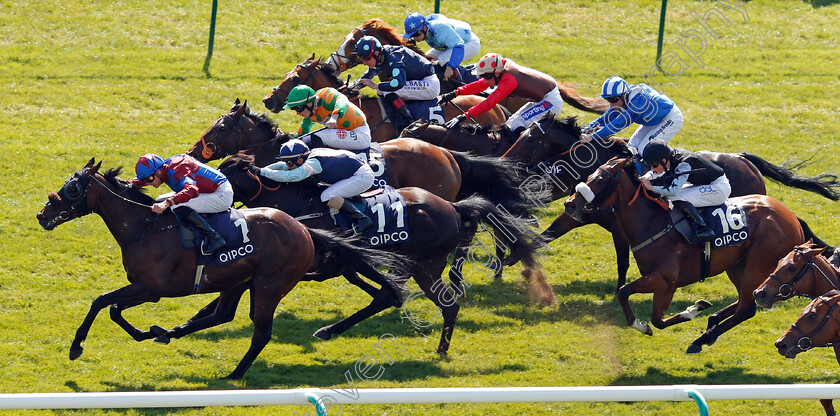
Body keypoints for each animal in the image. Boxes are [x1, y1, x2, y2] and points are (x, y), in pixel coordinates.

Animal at [37, 158, 410, 378]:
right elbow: (112, 308)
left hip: (269, 285)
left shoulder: (151, 288)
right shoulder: (145, 289)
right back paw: (171, 333)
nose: (42, 215)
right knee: (222, 315)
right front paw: (149, 332)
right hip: (236, 279)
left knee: (260, 331)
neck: (145, 227)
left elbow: (103, 302)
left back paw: (234, 374)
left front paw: (76, 347)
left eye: (73, 188)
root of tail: (305, 230)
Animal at [564, 158, 812, 352]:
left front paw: (667, 318)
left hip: (757, 265)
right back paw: (711, 323)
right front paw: (691, 310)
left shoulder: (665, 281)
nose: (569, 204)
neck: (652, 223)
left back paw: (703, 338)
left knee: (747, 307)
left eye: (599, 180)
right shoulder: (660, 282)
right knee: (746, 301)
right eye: (589, 176)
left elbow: (636, 301)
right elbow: (640, 306)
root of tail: (792, 216)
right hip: (737, 265)